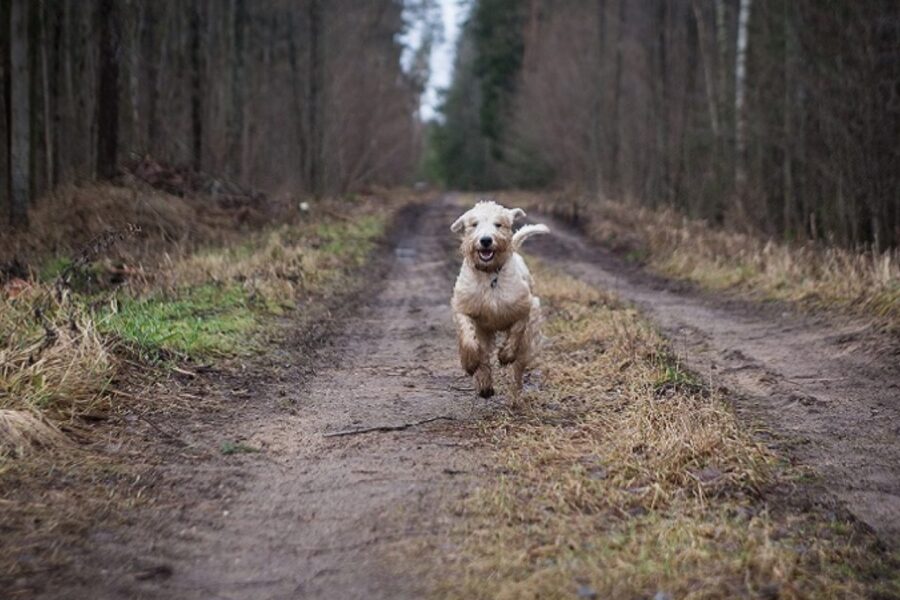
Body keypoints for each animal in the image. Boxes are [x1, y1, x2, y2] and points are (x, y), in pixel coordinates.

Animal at [450, 200, 548, 398]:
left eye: (498, 224)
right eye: (474, 224)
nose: (486, 240)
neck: (490, 275)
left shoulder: (526, 307)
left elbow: (517, 330)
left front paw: (505, 355)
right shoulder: (464, 308)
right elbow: (469, 338)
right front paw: (470, 363)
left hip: (528, 340)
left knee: (519, 366)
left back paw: (515, 393)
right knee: (484, 355)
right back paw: (485, 385)